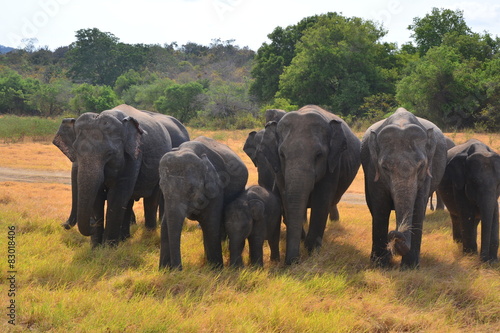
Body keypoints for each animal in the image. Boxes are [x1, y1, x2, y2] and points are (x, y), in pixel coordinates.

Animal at [53, 105, 189, 232]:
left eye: (109, 154)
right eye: (75, 152)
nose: (63, 225)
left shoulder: (134, 155)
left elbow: (119, 194)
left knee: (153, 198)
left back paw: (151, 230)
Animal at [158, 136, 248, 268]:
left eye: (191, 189)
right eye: (162, 187)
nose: (178, 269)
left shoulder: (217, 186)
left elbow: (210, 224)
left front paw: (216, 268)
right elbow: (165, 224)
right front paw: (163, 269)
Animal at [258, 104, 360, 264]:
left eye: (319, 155)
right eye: (282, 155)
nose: (292, 262)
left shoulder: (333, 164)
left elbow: (321, 200)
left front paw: (312, 251)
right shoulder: (278, 169)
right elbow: (286, 197)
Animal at [362, 107, 448, 268]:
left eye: (421, 166)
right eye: (385, 167)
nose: (394, 234)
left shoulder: (427, 172)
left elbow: (418, 207)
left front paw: (410, 267)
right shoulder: (372, 168)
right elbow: (380, 207)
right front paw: (380, 265)